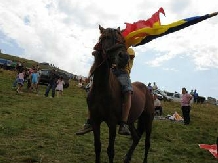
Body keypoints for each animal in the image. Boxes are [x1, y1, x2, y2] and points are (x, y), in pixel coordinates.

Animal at [87, 25, 154, 163]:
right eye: (105, 37)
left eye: (122, 40)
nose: (123, 57)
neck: (102, 89)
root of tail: (148, 91)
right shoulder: (95, 121)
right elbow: (98, 147)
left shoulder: (112, 123)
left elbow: (110, 151)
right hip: (131, 121)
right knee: (136, 137)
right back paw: (127, 157)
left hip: (148, 120)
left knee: (147, 143)